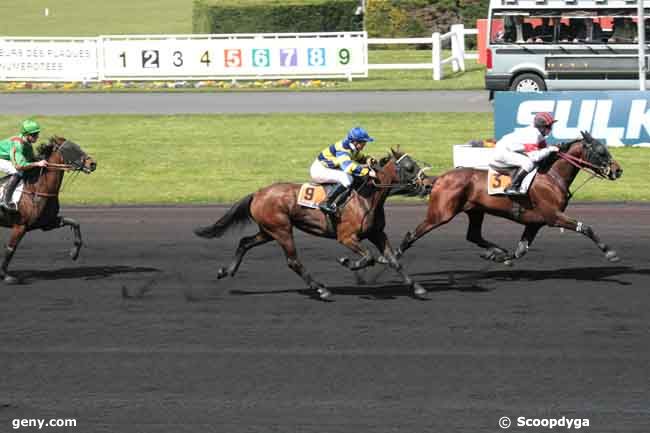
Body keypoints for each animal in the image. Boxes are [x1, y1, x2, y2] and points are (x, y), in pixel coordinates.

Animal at [0, 136, 96, 284]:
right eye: (71, 148)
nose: (92, 164)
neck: (37, 188)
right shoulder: (20, 226)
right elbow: (11, 248)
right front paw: (6, 276)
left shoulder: (47, 223)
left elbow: (74, 223)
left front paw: (74, 253)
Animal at [192, 148, 426, 296]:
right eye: (409, 167)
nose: (426, 185)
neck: (367, 197)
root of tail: (258, 193)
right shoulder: (346, 237)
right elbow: (368, 257)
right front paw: (348, 262)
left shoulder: (376, 233)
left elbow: (394, 260)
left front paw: (416, 287)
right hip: (282, 230)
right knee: (293, 261)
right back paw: (321, 289)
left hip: (269, 230)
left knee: (245, 242)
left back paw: (226, 271)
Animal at [394, 130, 624, 264]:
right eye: (601, 151)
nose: (618, 170)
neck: (551, 175)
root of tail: (440, 178)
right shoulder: (553, 216)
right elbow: (585, 227)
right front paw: (609, 252)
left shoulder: (535, 222)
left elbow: (521, 250)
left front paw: (501, 256)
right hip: (441, 213)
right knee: (413, 233)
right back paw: (395, 255)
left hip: (475, 211)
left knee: (474, 235)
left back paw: (496, 249)